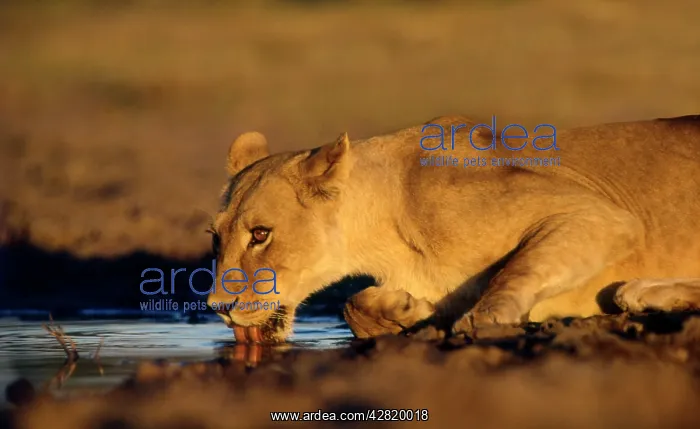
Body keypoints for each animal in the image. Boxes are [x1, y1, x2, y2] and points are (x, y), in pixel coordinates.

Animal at [206, 114, 700, 343]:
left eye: (260, 235)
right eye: (216, 237)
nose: (217, 308)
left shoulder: (601, 215)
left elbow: (514, 270)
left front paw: (483, 317)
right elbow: (351, 305)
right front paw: (407, 310)